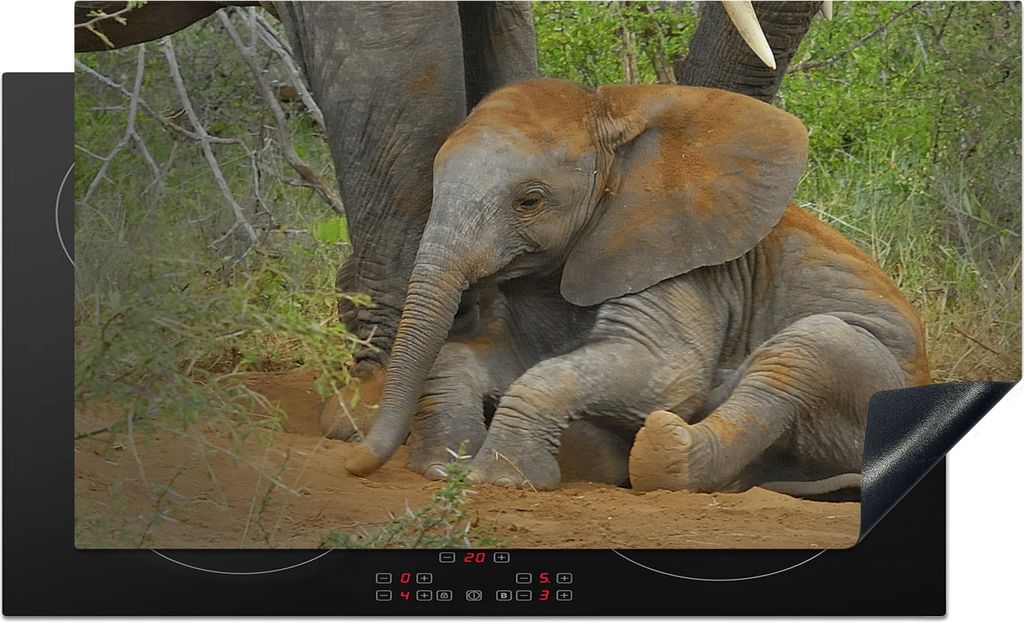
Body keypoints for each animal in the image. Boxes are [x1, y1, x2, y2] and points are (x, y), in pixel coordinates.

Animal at [344, 78, 931, 494]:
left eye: (529, 201)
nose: (354, 464)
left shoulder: (679, 263)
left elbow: (664, 371)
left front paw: (503, 480)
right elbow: (489, 357)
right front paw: (443, 469)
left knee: (803, 351)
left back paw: (661, 448)